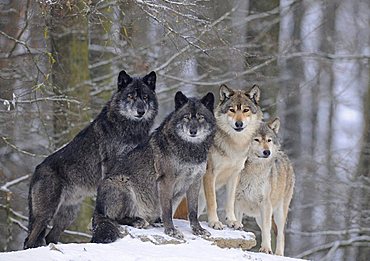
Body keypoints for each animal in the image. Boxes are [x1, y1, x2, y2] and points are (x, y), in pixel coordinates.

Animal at [24, 69, 158, 248]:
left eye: (145, 97)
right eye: (130, 96)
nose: (141, 111)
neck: (130, 129)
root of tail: (36, 170)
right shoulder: (111, 167)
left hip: (68, 215)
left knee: (50, 237)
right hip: (46, 213)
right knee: (30, 240)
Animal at [90, 91, 215, 242]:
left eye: (201, 117)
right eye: (186, 117)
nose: (193, 131)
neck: (190, 150)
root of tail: (97, 208)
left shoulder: (195, 182)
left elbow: (193, 211)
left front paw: (198, 230)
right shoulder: (166, 181)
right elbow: (167, 210)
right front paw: (171, 231)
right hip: (122, 183)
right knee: (113, 218)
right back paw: (138, 221)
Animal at [199, 84, 264, 229]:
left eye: (245, 110)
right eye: (232, 110)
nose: (239, 124)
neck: (234, 146)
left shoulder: (235, 175)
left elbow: (230, 202)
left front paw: (232, 221)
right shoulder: (209, 174)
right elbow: (213, 202)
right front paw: (214, 222)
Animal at [236, 118, 296, 256]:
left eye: (269, 140)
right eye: (256, 139)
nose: (267, 152)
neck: (253, 172)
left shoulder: (265, 204)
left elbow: (267, 230)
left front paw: (266, 249)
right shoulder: (236, 201)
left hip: (279, 213)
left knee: (280, 234)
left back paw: (278, 254)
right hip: (259, 216)